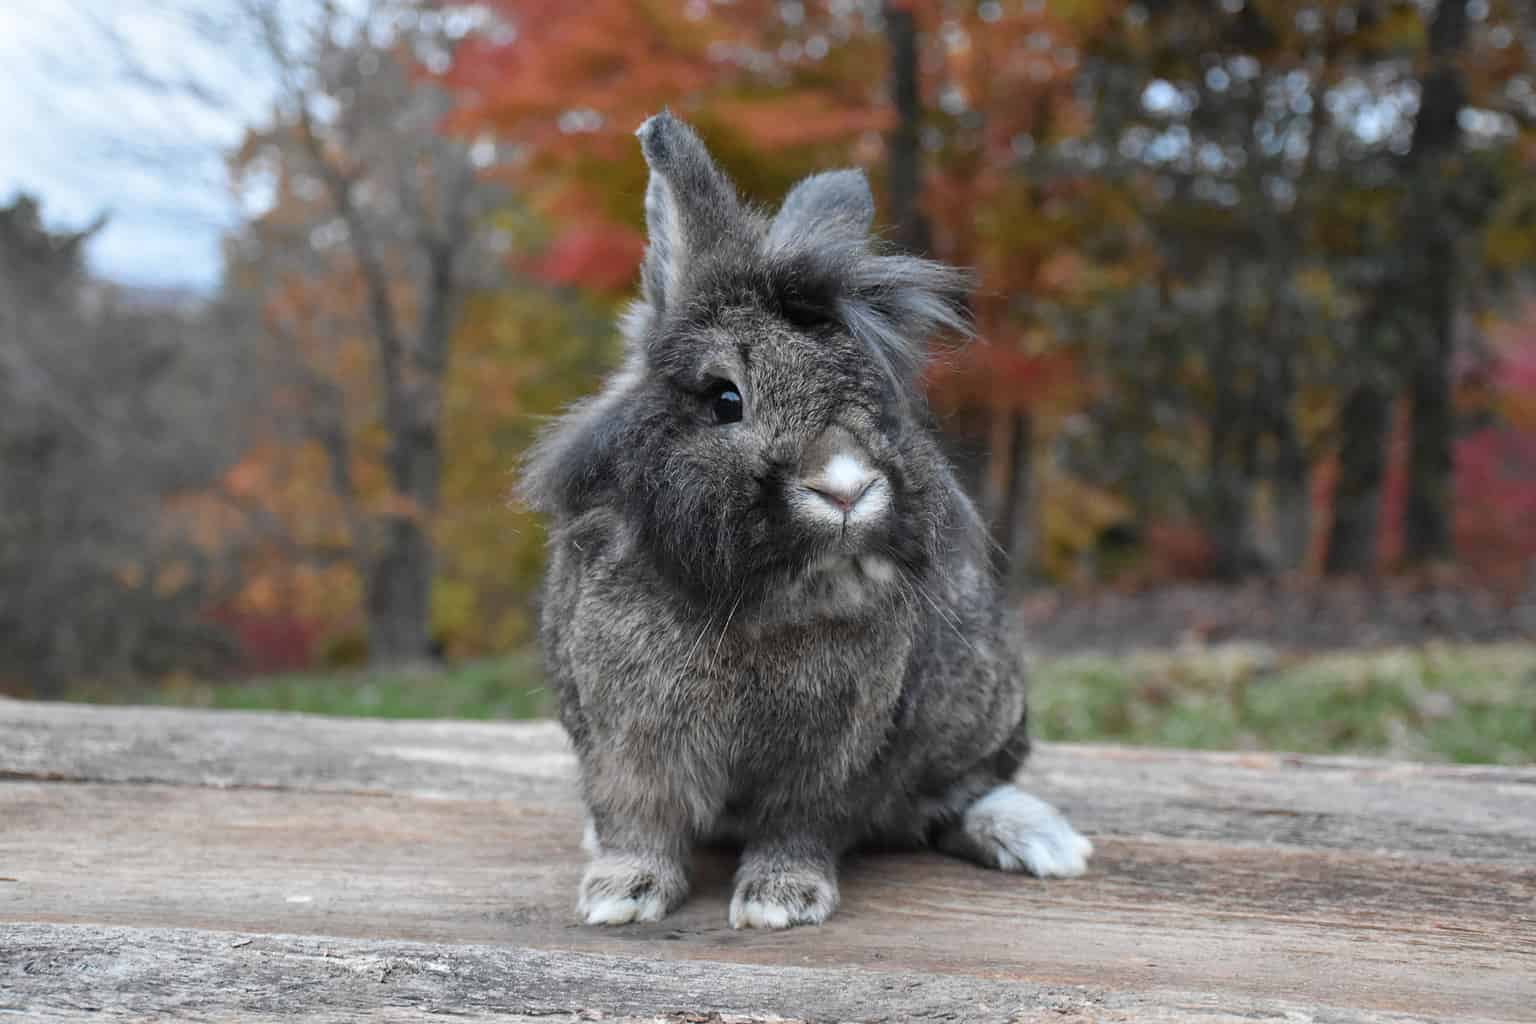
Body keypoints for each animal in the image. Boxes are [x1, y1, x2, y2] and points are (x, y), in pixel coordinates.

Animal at [519, 111, 1092, 930]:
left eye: (882, 399)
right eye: (725, 399)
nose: (847, 487)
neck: (761, 603)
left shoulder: (831, 759)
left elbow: (799, 826)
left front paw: (779, 903)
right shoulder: (626, 742)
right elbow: (640, 820)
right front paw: (620, 895)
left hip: (977, 707)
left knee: (957, 795)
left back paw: (1040, 841)